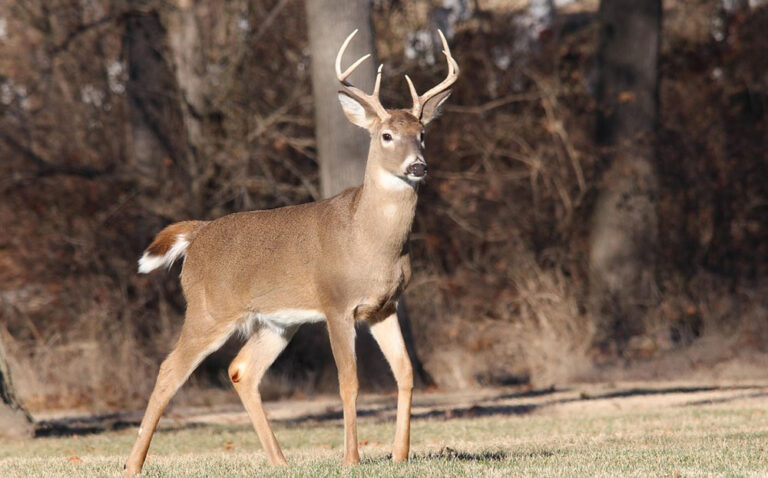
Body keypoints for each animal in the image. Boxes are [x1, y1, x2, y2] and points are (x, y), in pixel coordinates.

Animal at [124, 29, 458, 476]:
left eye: (422, 134)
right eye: (386, 135)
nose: (418, 166)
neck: (371, 242)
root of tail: (197, 235)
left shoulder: (385, 306)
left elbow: (405, 372)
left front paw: (399, 454)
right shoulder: (336, 304)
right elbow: (348, 382)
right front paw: (352, 459)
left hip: (276, 322)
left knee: (241, 370)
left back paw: (280, 460)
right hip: (208, 310)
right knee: (169, 369)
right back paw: (133, 464)